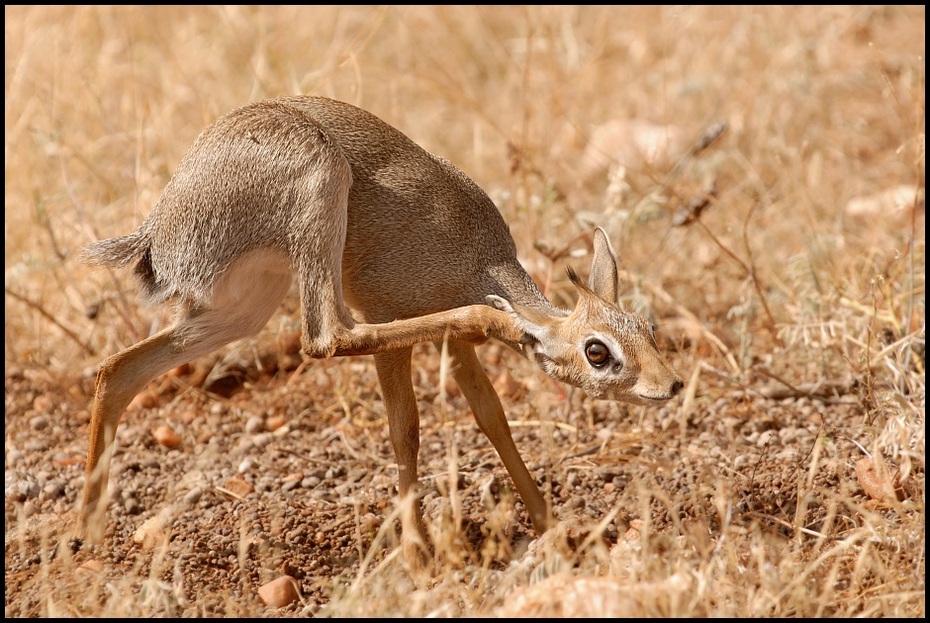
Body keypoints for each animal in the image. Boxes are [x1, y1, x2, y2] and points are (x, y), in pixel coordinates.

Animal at [78, 96, 680, 564]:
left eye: (646, 327)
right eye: (598, 352)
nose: (669, 385)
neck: (475, 259)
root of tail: (158, 227)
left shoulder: (455, 350)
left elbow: (493, 417)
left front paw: (549, 525)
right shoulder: (389, 321)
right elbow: (405, 428)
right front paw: (417, 555)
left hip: (244, 308)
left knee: (119, 369)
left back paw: (86, 537)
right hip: (318, 186)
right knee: (325, 337)